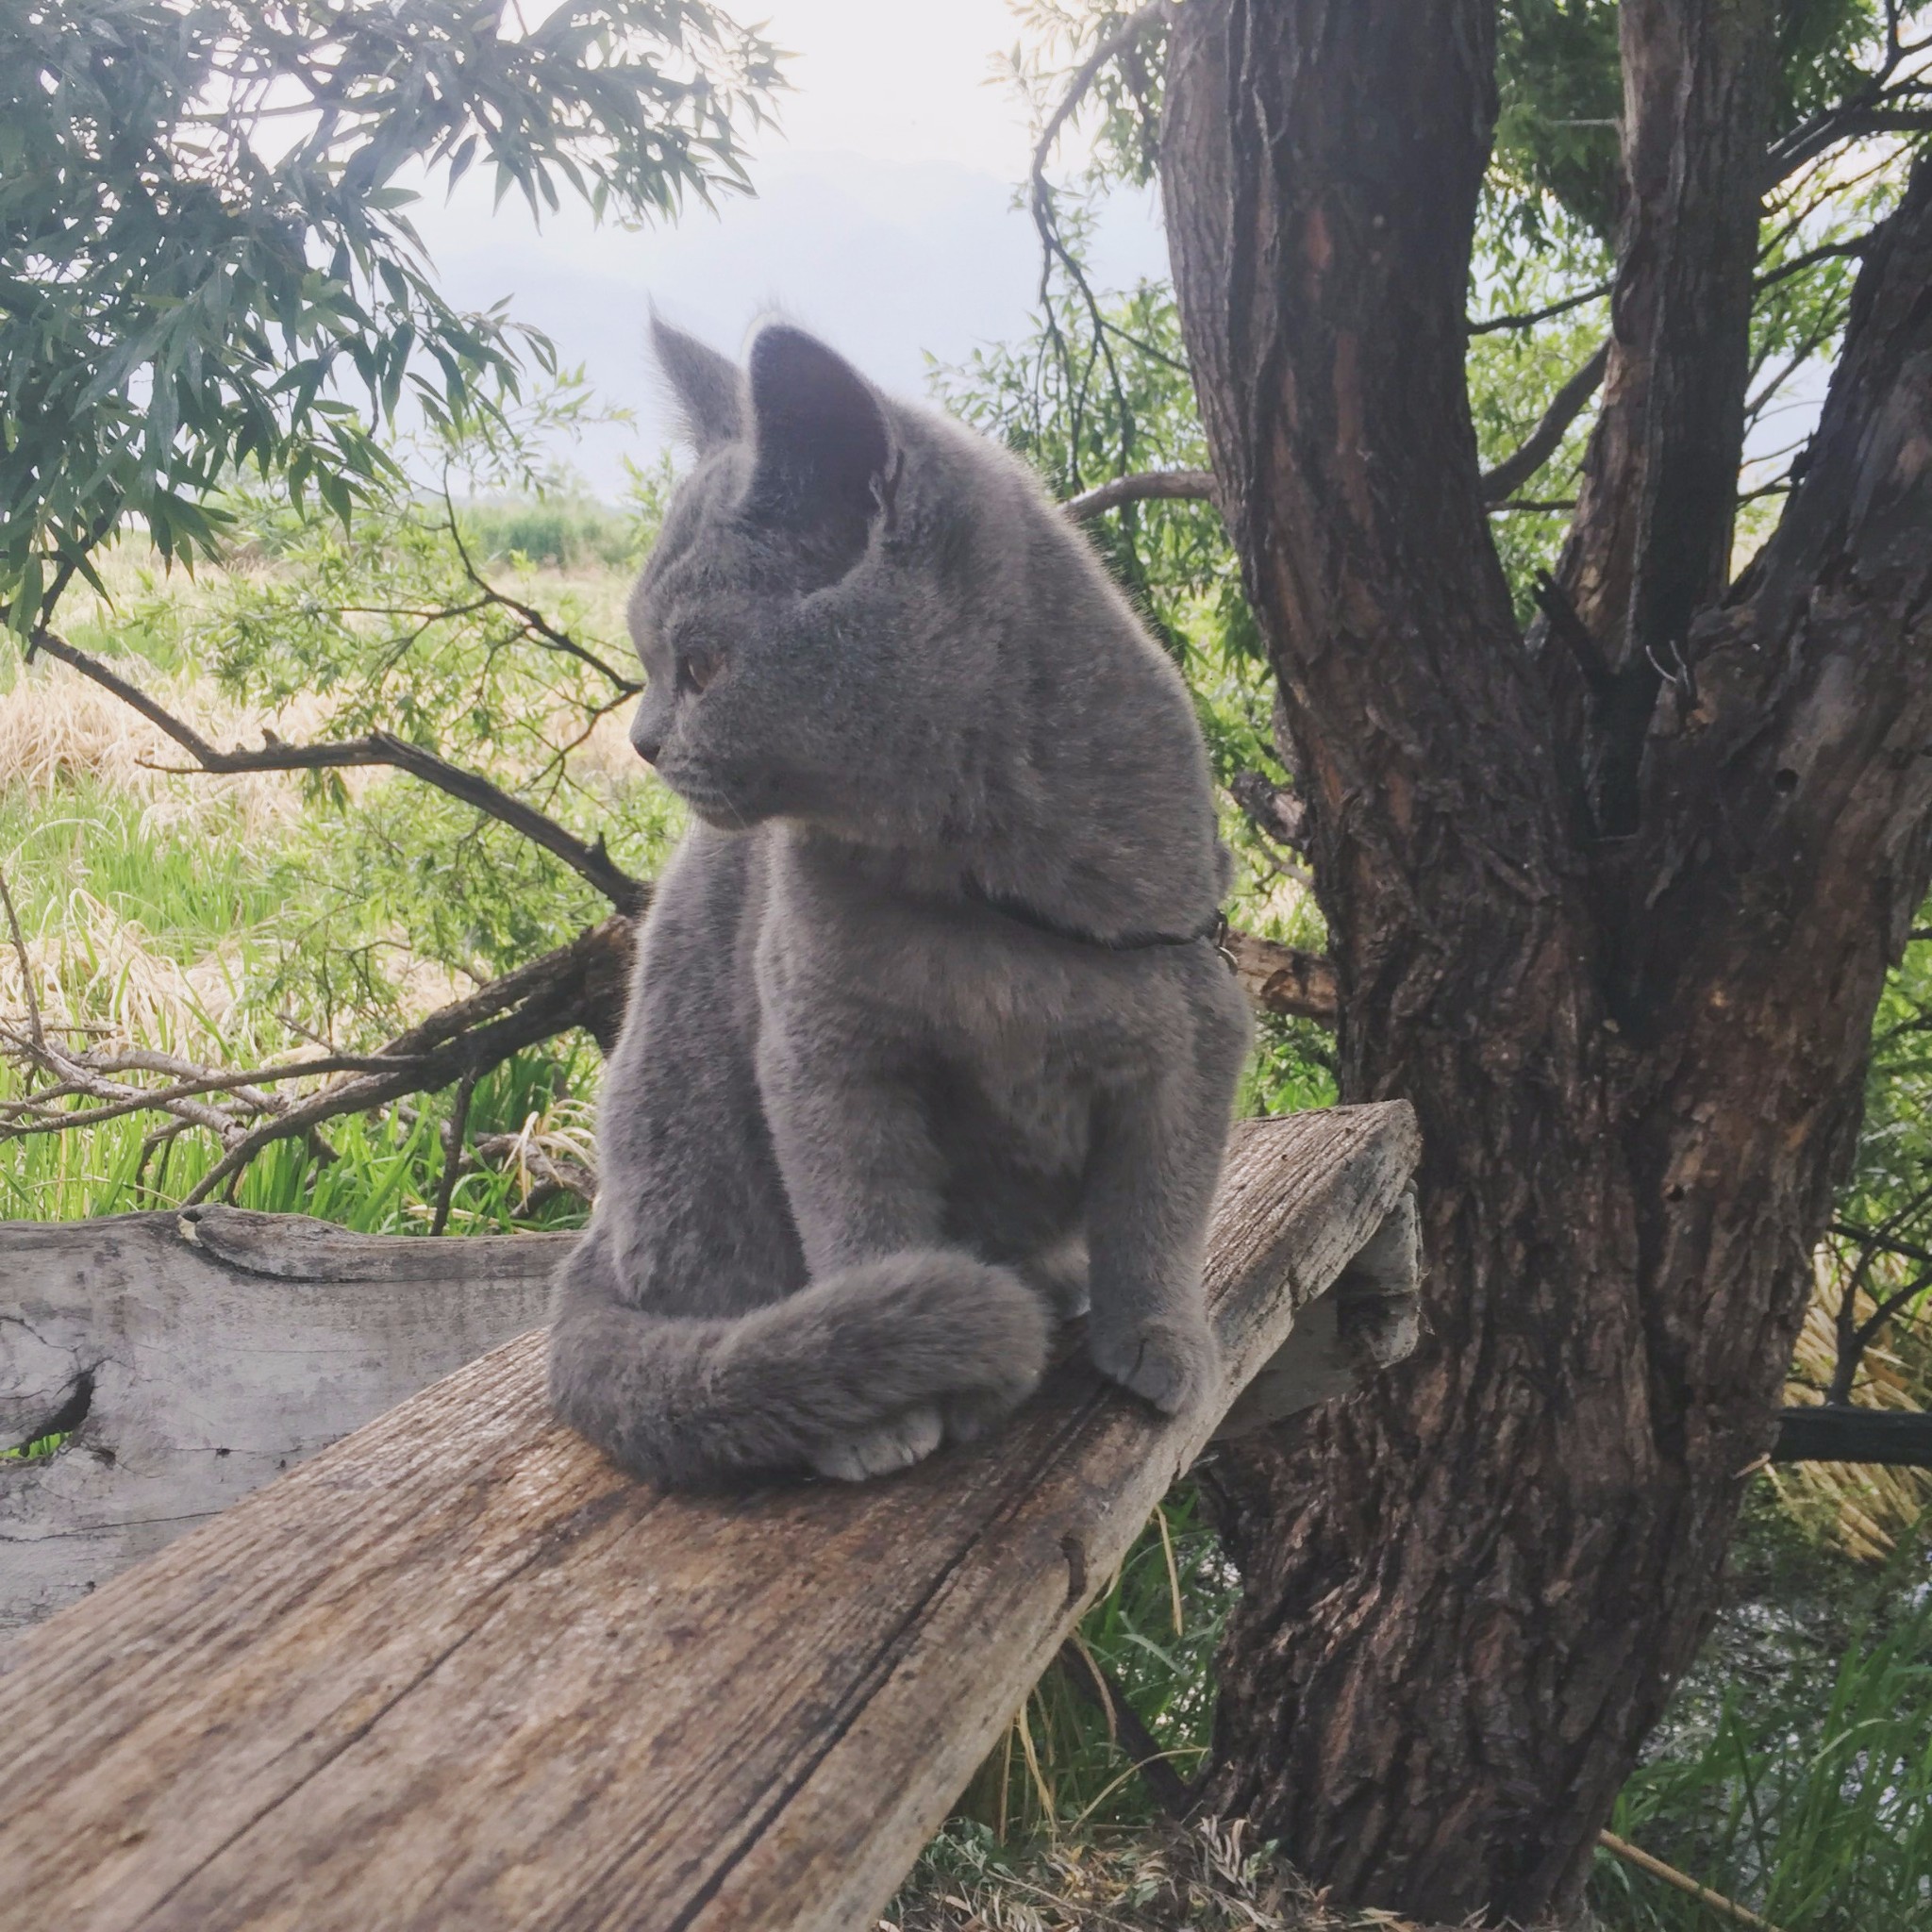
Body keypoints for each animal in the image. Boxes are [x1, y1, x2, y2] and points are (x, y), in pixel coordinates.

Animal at [548, 325, 1252, 1483]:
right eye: (649, 660)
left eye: (702, 665)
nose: (643, 741)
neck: (975, 884)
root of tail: (588, 1252)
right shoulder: (828, 1053)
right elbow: (863, 1215)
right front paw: (889, 1405)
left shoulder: (1194, 1022)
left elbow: (1160, 1208)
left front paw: (1161, 1339)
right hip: (688, 1111)